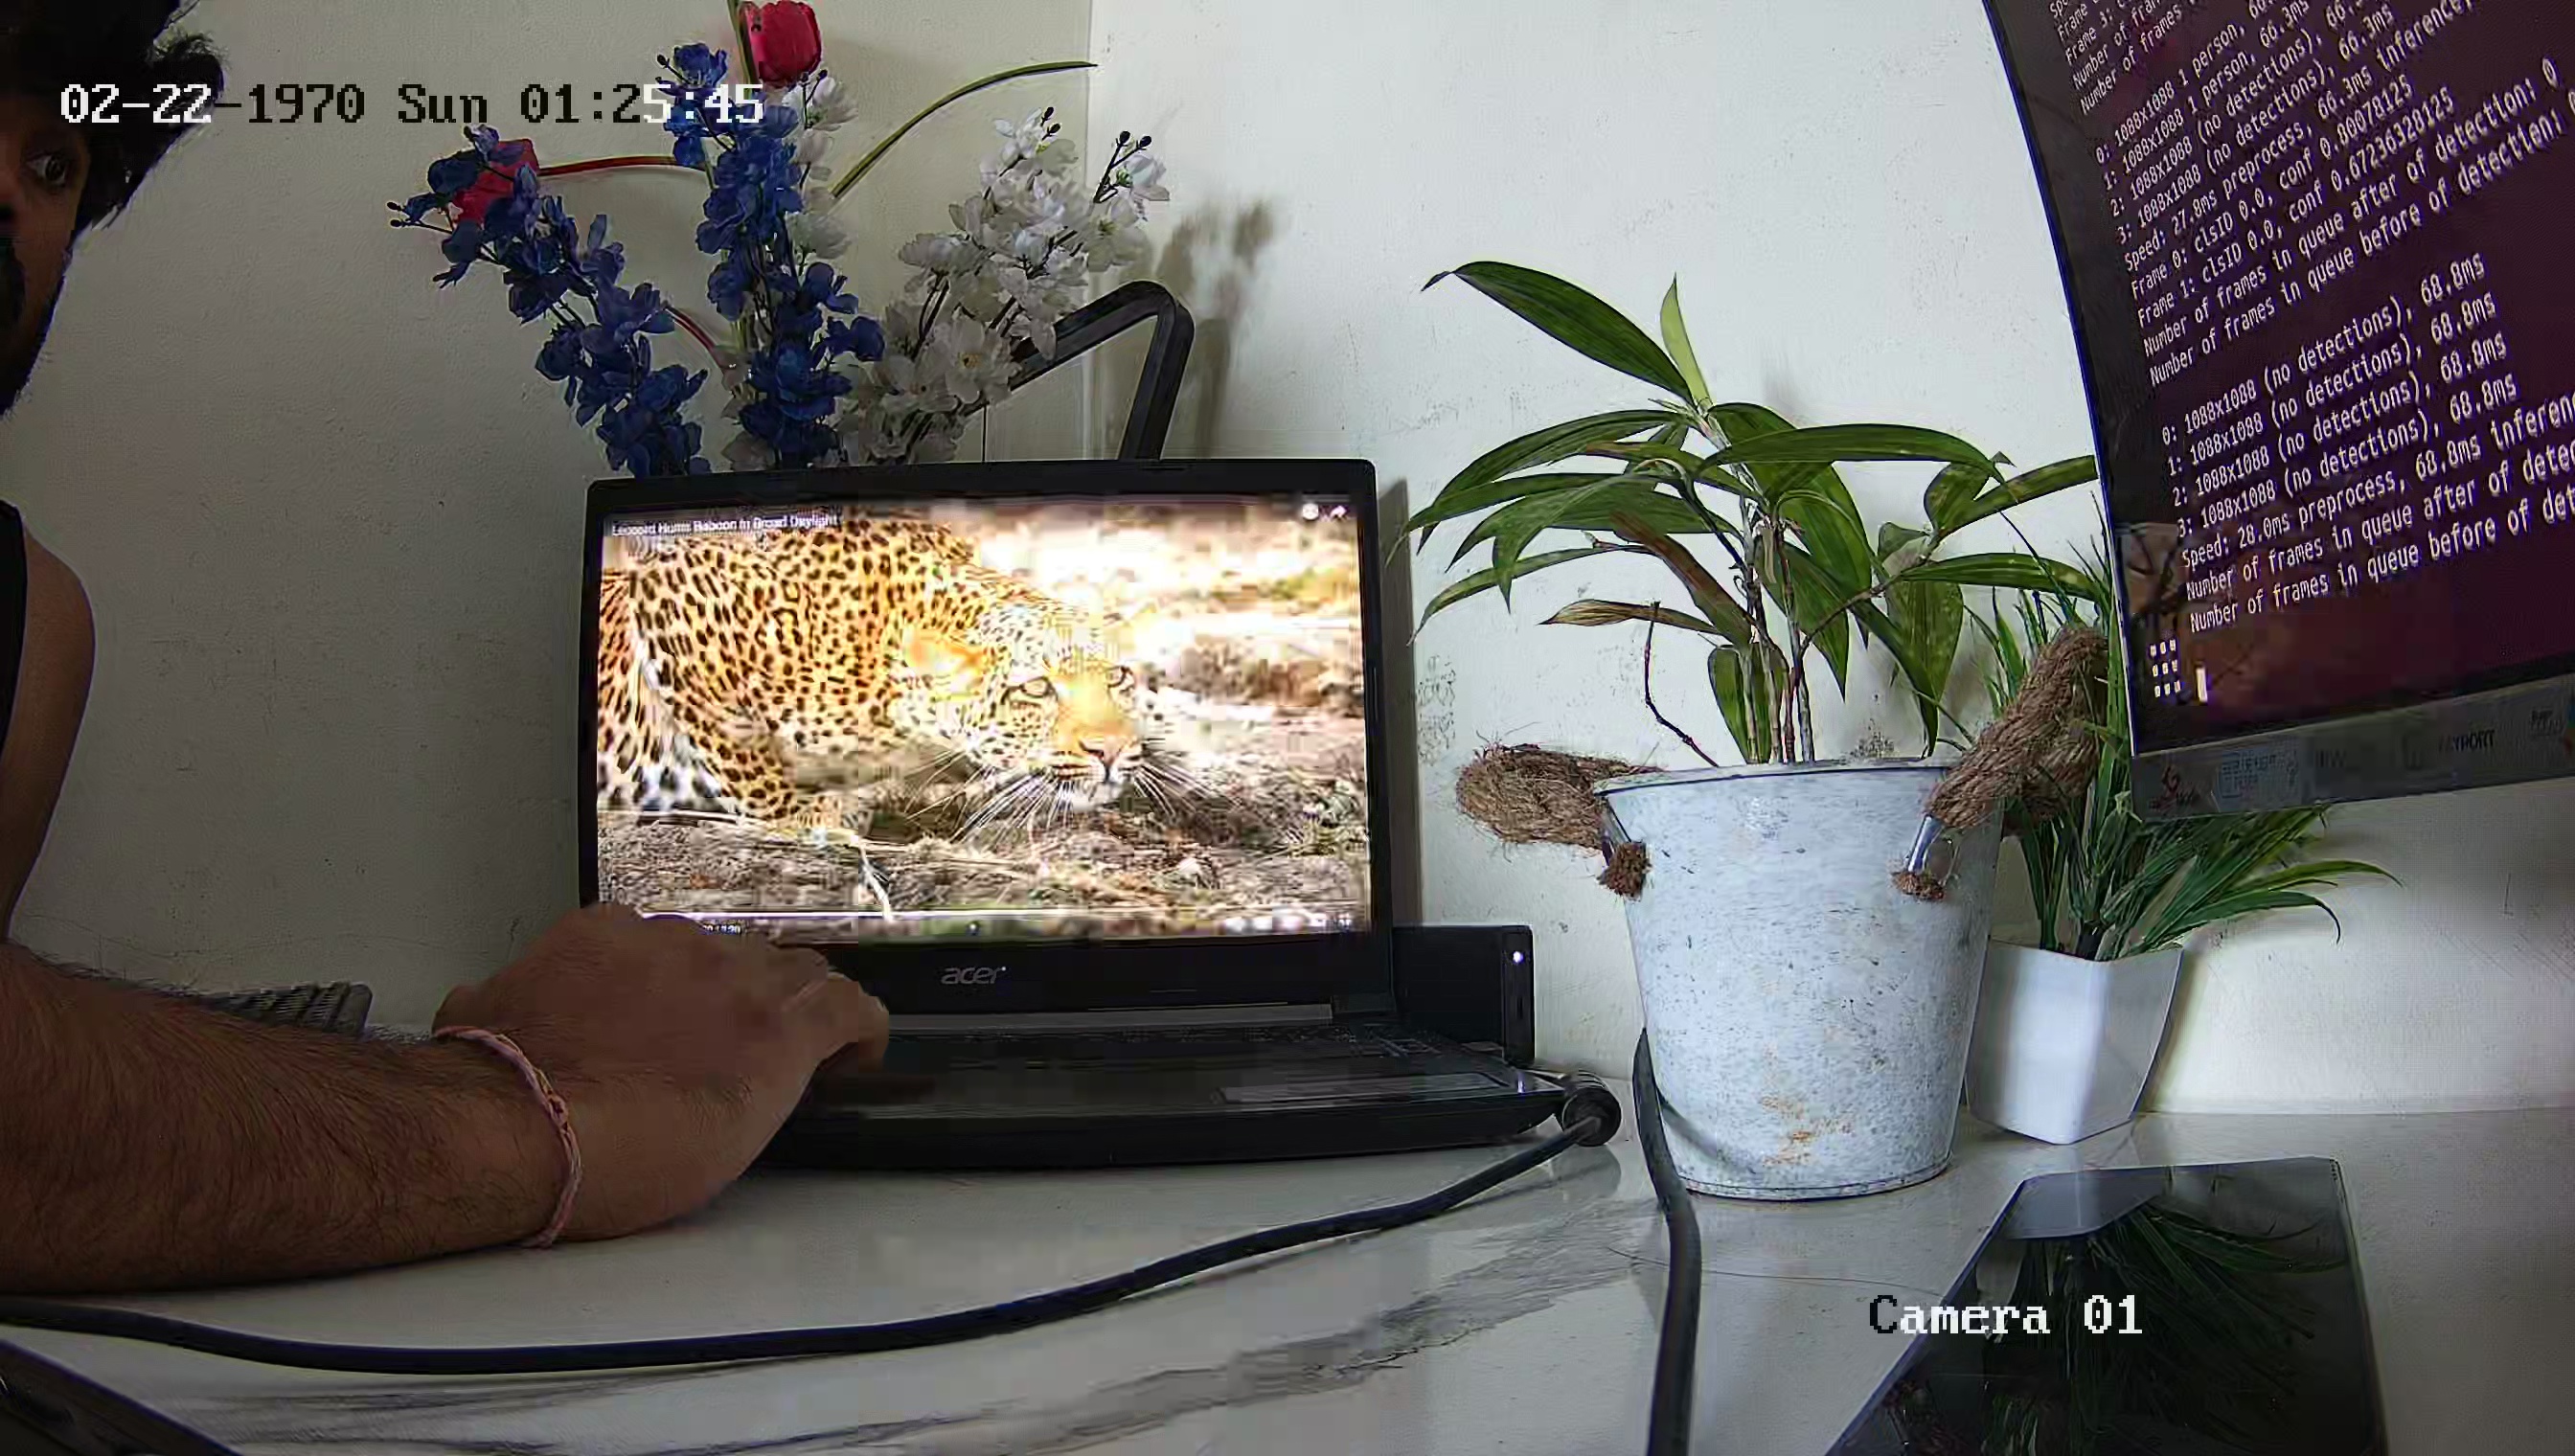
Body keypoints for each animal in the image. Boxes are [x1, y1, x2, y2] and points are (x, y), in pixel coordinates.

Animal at [596, 515, 1172, 844]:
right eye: (1035, 689)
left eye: (1117, 678)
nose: (1108, 751)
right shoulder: (673, 589)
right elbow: (742, 760)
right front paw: (808, 816)